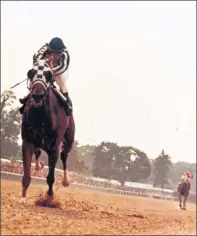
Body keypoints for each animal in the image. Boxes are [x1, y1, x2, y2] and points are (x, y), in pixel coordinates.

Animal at [20, 59, 75, 205]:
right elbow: (26, 174)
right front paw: (23, 197)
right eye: (30, 72)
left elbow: (50, 177)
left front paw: (49, 198)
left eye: (48, 74)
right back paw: (39, 166)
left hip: (69, 139)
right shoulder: (27, 142)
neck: (40, 115)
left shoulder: (53, 147)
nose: (37, 95)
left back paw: (66, 180)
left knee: (64, 155)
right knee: (38, 151)